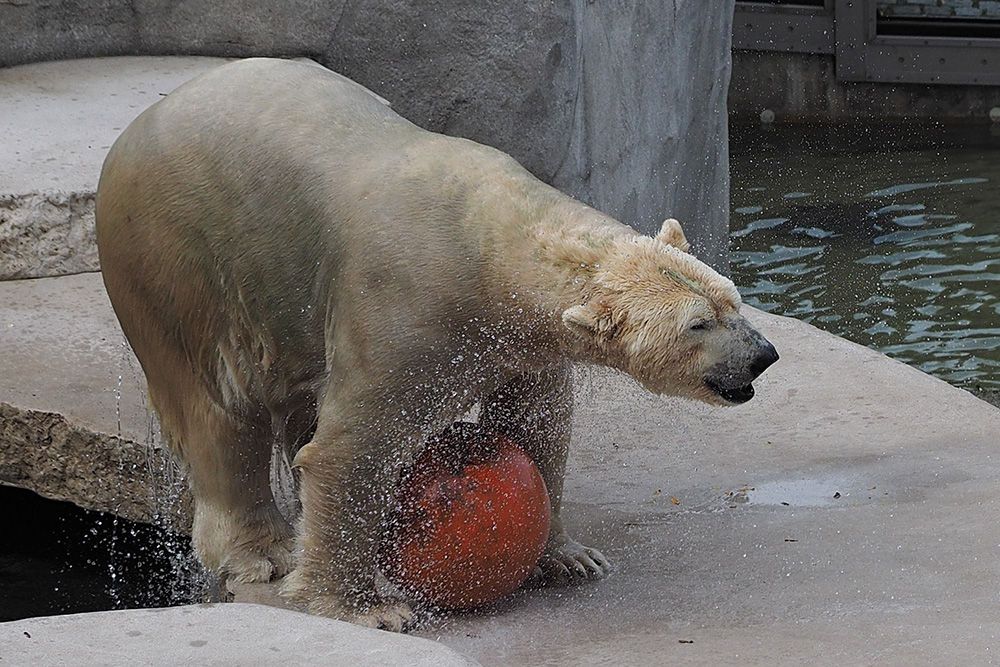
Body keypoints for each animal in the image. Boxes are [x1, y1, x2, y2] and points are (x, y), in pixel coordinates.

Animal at [95, 57, 780, 632]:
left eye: (732, 300)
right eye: (697, 325)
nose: (763, 355)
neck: (490, 242)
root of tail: (129, 134)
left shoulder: (517, 340)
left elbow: (538, 422)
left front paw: (570, 557)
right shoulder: (401, 309)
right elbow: (350, 448)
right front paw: (365, 608)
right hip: (175, 261)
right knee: (219, 407)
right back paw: (262, 553)